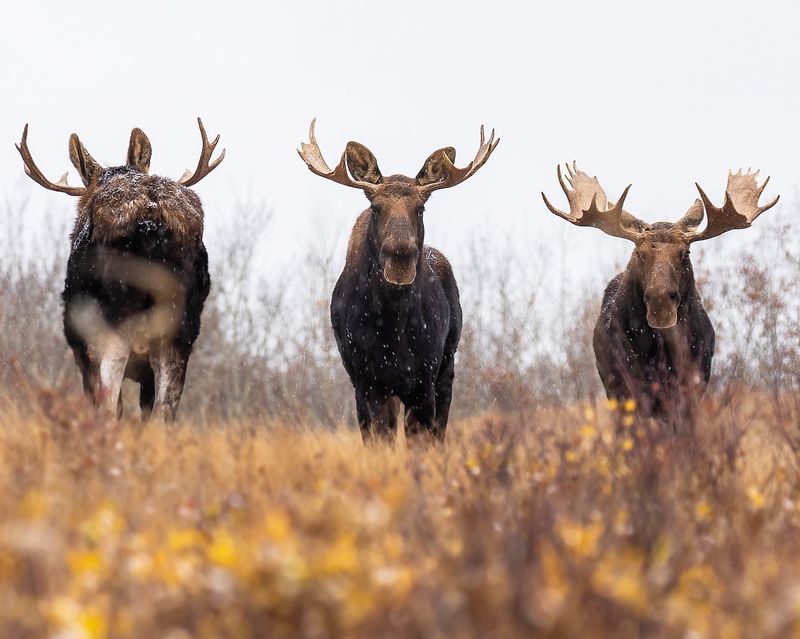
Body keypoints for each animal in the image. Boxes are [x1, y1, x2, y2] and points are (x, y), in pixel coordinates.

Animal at [17, 119, 223, 420]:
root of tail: (151, 218)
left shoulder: (82, 347)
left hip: (109, 325)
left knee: (109, 404)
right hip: (179, 330)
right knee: (164, 412)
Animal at [300, 120, 500, 442]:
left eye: (420, 208)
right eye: (375, 207)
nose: (400, 256)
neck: (390, 325)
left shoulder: (423, 380)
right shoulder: (366, 382)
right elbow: (380, 439)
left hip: (447, 366)